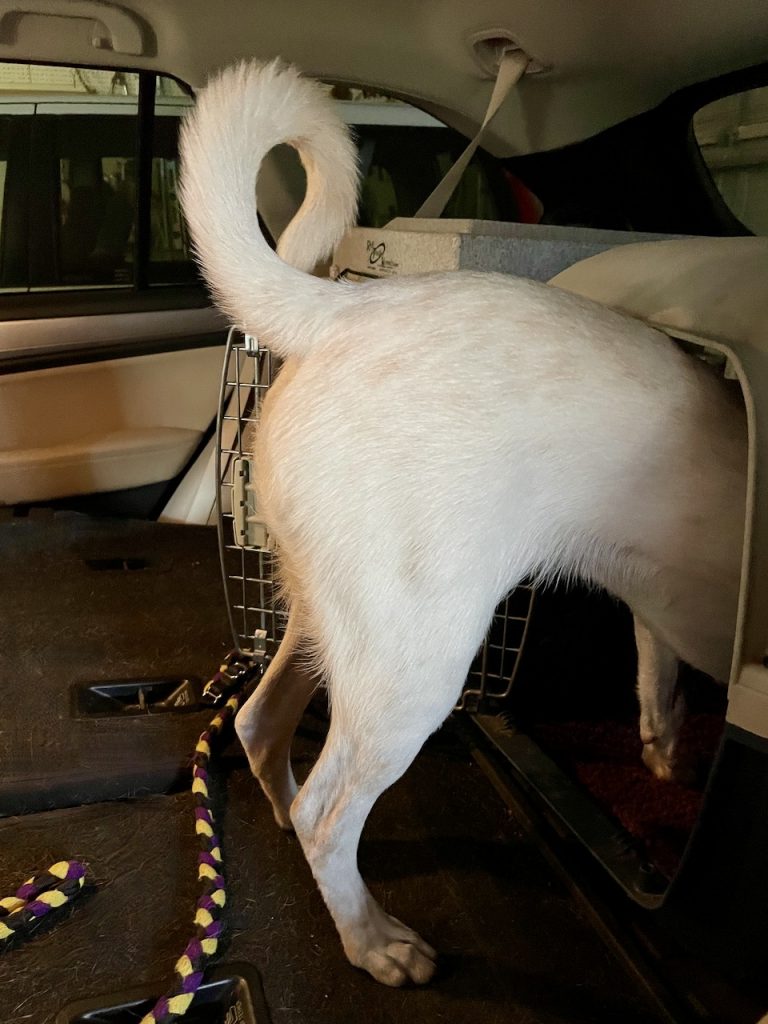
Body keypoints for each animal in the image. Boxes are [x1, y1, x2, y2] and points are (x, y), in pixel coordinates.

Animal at [179, 61, 745, 983]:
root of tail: (342, 312)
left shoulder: (656, 595)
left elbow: (656, 668)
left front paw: (665, 749)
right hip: (417, 663)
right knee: (329, 814)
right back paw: (372, 939)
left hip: (337, 621)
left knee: (262, 726)